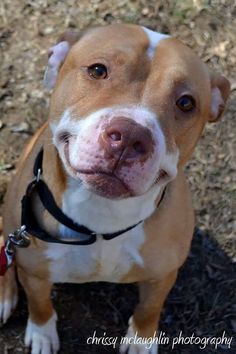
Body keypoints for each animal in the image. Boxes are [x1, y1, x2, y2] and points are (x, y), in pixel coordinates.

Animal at [0, 23, 230, 352]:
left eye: (186, 103)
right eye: (98, 70)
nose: (131, 136)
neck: (102, 217)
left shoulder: (162, 275)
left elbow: (149, 309)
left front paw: (141, 342)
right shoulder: (34, 270)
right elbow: (40, 304)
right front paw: (42, 334)